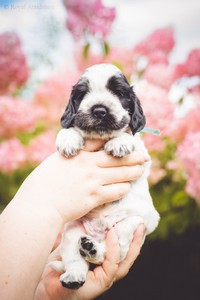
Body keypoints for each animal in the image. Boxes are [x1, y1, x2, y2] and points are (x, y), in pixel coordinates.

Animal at [50, 64, 160, 290]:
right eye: (82, 94)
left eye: (119, 93)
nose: (99, 110)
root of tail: (97, 235)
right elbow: (69, 128)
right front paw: (68, 139)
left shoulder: (142, 157)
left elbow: (131, 136)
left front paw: (120, 141)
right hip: (72, 232)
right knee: (76, 260)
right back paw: (76, 272)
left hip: (131, 224)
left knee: (109, 253)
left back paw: (94, 250)